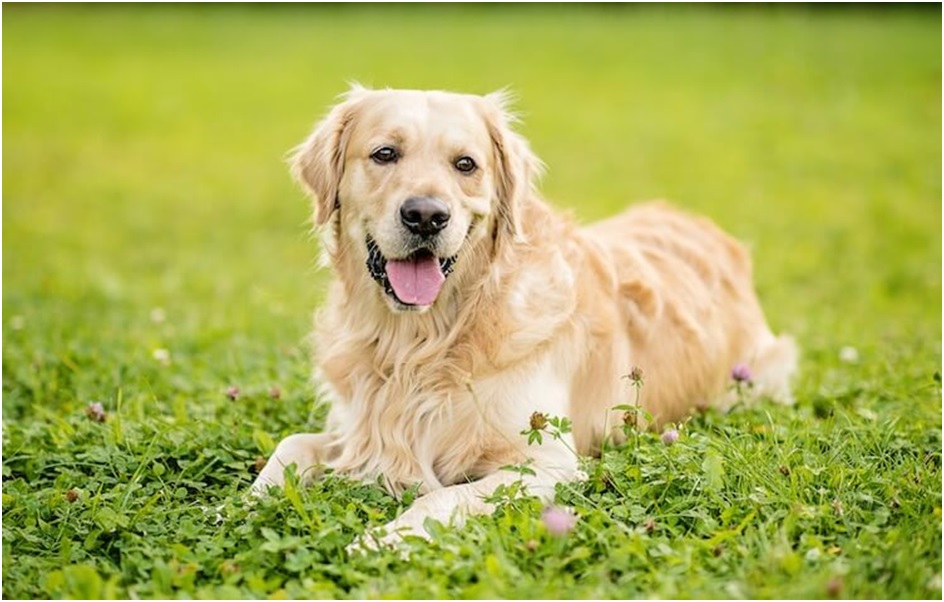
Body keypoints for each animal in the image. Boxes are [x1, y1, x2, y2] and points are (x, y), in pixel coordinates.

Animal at [251, 85, 796, 548]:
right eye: (385, 154)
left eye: (465, 164)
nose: (426, 216)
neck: (420, 341)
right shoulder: (358, 429)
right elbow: (292, 444)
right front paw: (248, 502)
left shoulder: (549, 462)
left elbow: (440, 495)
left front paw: (382, 540)